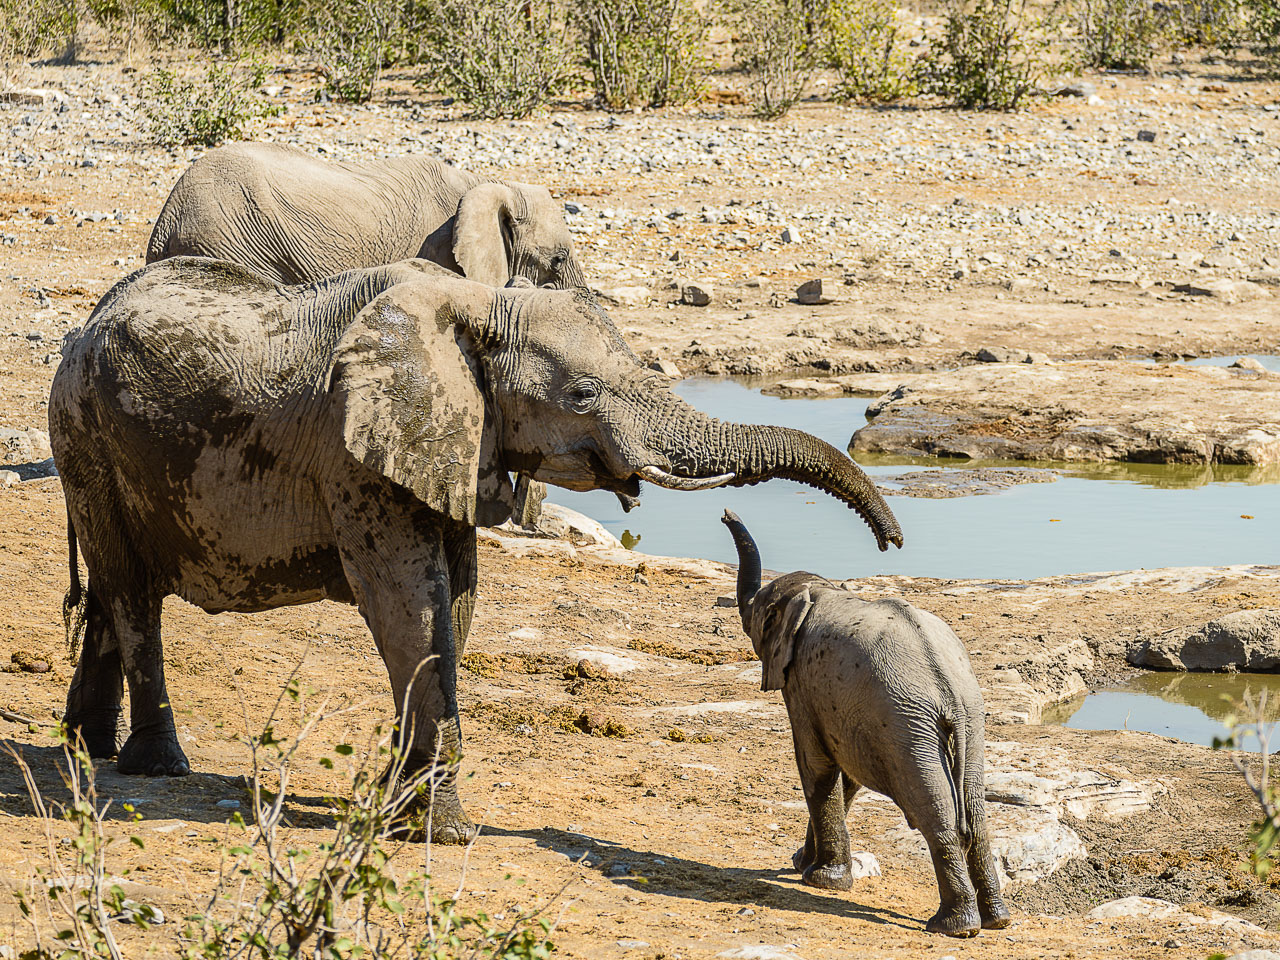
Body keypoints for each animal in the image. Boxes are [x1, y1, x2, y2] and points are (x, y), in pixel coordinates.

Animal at [47, 259, 901, 844]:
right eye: (583, 396)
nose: (893, 538)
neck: (481, 306)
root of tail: (85, 323)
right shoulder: (356, 457)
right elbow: (409, 604)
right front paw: (443, 832)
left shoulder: (454, 445)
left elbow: (454, 604)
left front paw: (405, 809)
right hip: (85, 432)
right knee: (132, 592)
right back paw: (157, 765)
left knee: (111, 591)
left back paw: (84, 746)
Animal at [721, 512, 1008, 942]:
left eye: (757, 614)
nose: (726, 513)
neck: (818, 589)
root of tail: (948, 692)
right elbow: (848, 776)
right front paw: (803, 864)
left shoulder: (801, 683)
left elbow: (816, 765)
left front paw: (822, 880)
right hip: (969, 720)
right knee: (974, 808)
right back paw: (997, 920)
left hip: (907, 726)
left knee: (935, 808)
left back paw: (952, 927)